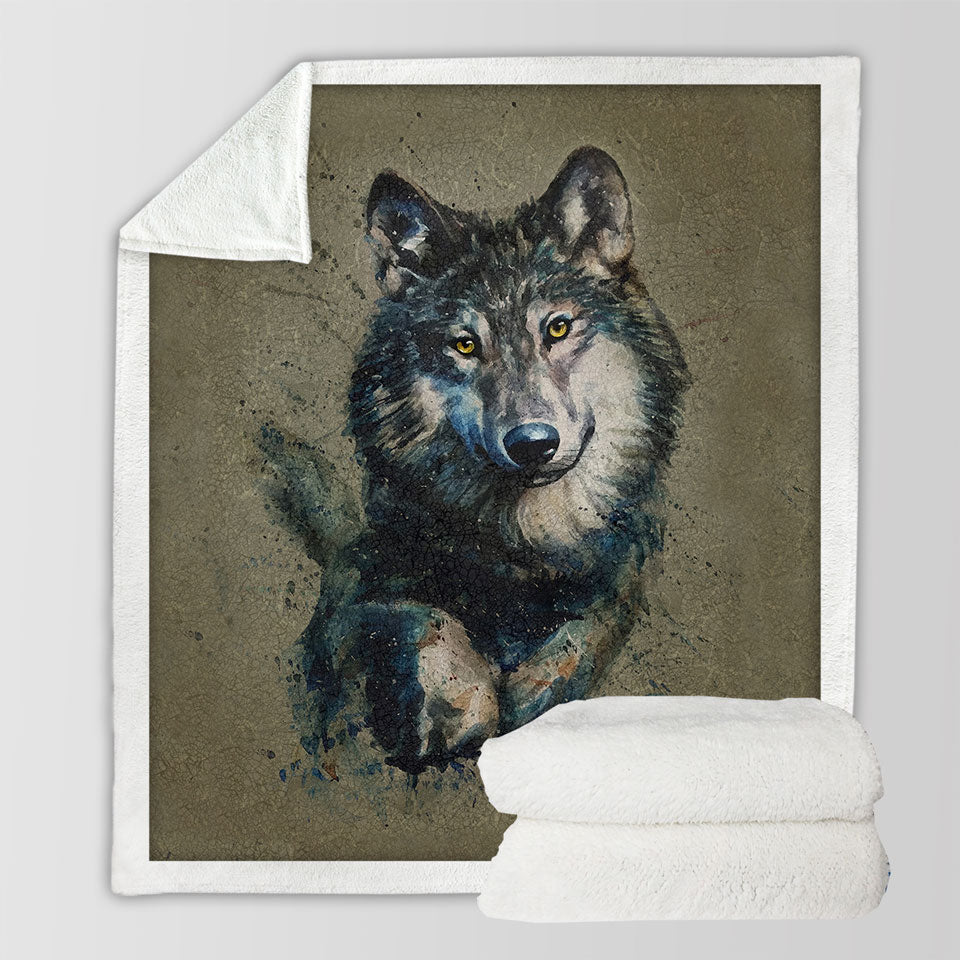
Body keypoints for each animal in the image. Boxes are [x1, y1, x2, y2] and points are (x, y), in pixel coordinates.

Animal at [261, 147, 688, 774]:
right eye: (466, 345)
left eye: (557, 328)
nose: (532, 443)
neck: (519, 551)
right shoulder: (360, 583)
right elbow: (424, 614)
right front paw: (459, 708)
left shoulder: (621, 580)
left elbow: (583, 635)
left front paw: (534, 701)